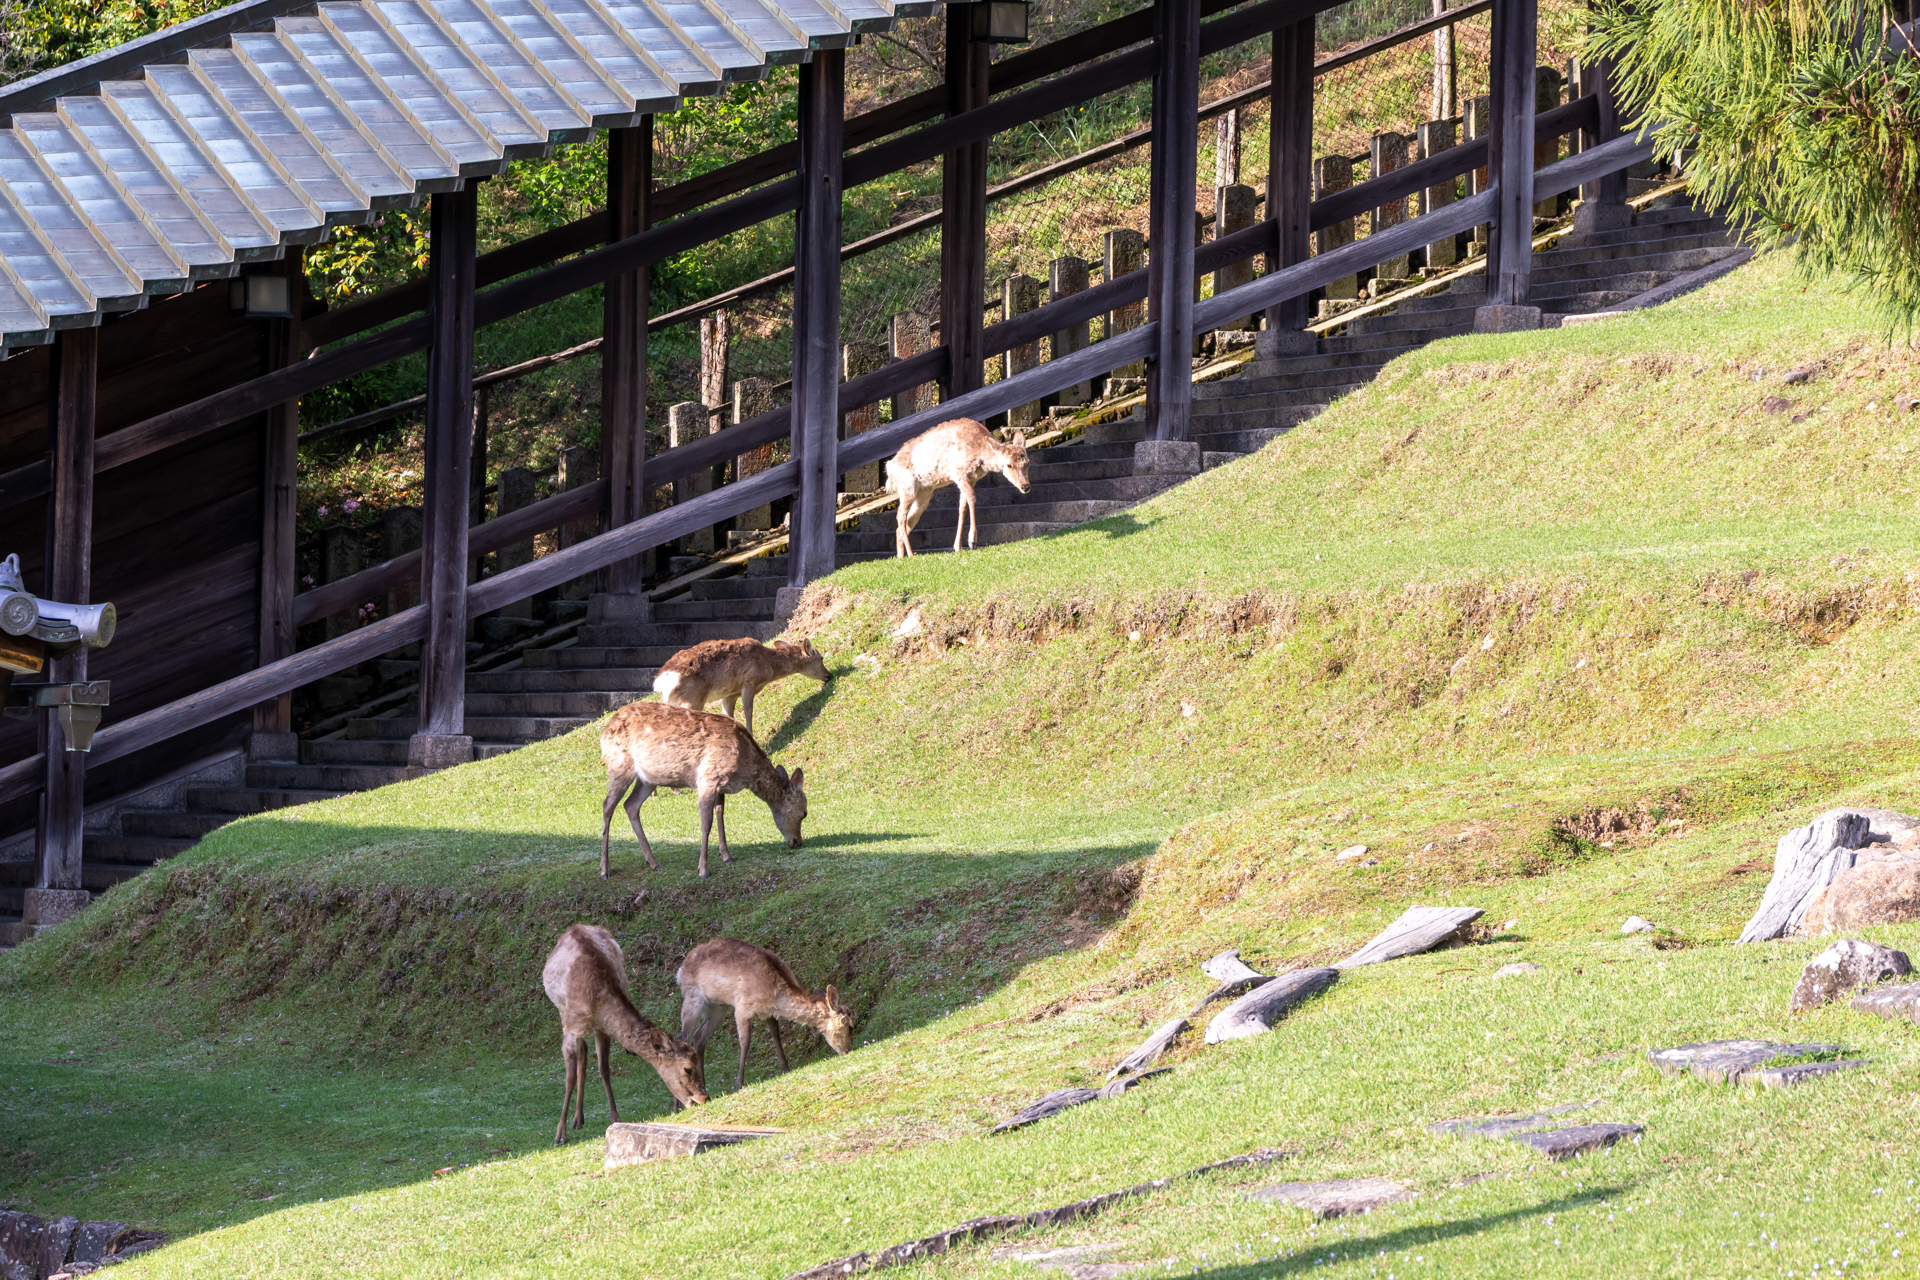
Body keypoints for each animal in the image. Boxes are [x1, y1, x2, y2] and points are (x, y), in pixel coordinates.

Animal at [542, 924, 708, 1144]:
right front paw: (559, 1134)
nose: (704, 1097)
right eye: (687, 1068)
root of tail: (574, 927)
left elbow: (604, 1069)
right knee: (581, 1055)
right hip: (562, 1012)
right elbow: (569, 1079)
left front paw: (615, 1118)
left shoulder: (602, 1028)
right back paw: (575, 1121)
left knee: (584, 1055)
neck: (597, 1000)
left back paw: (579, 1119)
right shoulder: (571, 1027)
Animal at [600, 700, 807, 879]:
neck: (745, 767)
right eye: (804, 812)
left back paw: (653, 862)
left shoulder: (721, 783)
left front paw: (727, 856)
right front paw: (703, 870)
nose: (797, 842)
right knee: (608, 805)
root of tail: (604, 731)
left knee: (630, 805)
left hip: (648, 778)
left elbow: (720, 814)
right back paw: (605, 869)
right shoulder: (708, 777)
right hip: (619, 763)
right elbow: (706, 823)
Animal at [653, 637, 831, 738]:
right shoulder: (749, 682)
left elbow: (729, 716)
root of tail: (660, 682)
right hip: (693, 698)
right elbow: (748, 712)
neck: (768, 666)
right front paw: (751, 737)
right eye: (821, 658)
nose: (829, 675)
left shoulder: (730, 693)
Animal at [676, 937, 856, 1090]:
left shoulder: (768, 1011)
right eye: (851, 1026)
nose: (849, 1050)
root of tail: (680, 970)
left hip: (718, 1007)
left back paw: (703, 1088)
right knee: (683, 1038)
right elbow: (745, 1041)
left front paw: (785, 1068)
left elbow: (776, 1033)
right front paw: (738, 1083)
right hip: (692, 997)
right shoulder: (743, 1006)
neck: (774, 994)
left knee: (699, 1037)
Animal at [885, 417, 1030, 557]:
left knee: (907, 521)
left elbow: (962, 507)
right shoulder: (958, 473)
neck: (979, 453)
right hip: (907, 486)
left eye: (1027, 462)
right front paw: (972, 540)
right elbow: (972, 497)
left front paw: (957, 547)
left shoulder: (972, 479)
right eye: (1009, 465)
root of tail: (889, 470)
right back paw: (911, 554)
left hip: (924, 493)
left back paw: (901, 557)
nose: (1025, 486)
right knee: (900, 516)